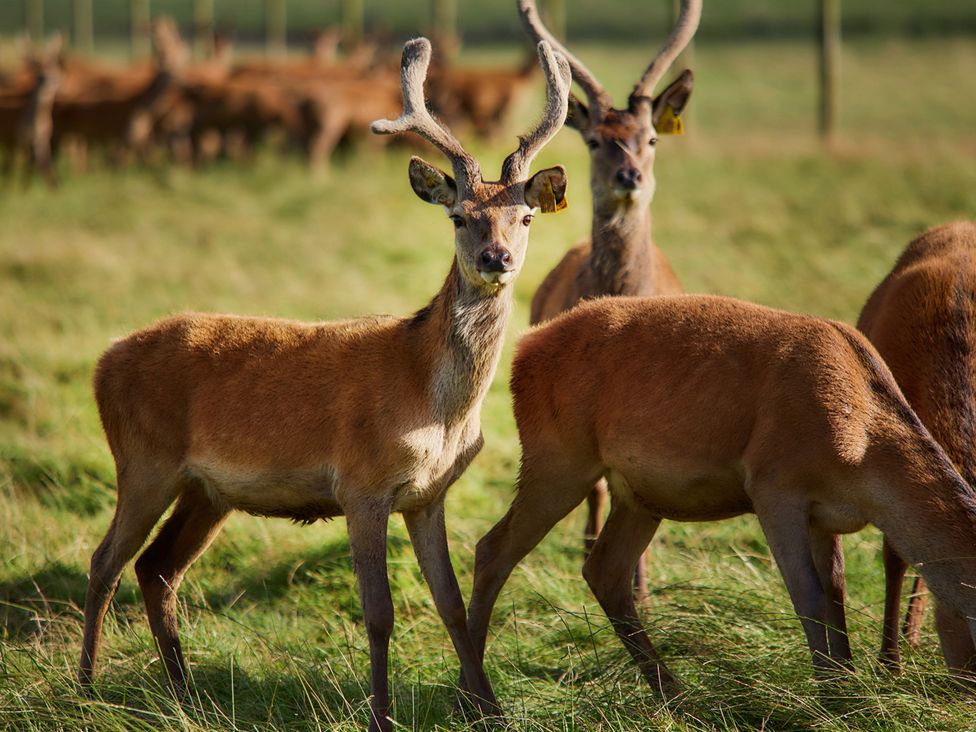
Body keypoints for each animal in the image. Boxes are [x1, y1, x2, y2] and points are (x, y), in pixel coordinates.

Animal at [78, 36, 572, 732]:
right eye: (458, 217)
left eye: (526, 216)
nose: (494, 259)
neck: (437, 408)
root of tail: (103, 362)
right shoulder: (361, 485)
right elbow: (380, 612)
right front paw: (382, 716)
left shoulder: (429, 495)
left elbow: (450, 602)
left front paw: (488, 708)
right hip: (142, 460)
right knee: (105, 562)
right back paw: (87, 686)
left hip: (207, 489)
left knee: (157, 567)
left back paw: (184, 692)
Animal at [465, 293, 976, 697]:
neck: (860, 453)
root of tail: (524, 346)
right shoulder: (774, 484)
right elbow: (808, 598)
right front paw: (830, 697)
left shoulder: (825, 515)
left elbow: (836, 596)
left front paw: (845, 684)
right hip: (557, 459)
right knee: (491, 550)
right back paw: (479, 701)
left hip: (638, 495)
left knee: (604, 569)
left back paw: (674, 693)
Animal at [516, 0, 700, 597]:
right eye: (594, 140)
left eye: (652, 138)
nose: (629, 175)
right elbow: (601, 486)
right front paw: (595, 554)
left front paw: (640, 582)